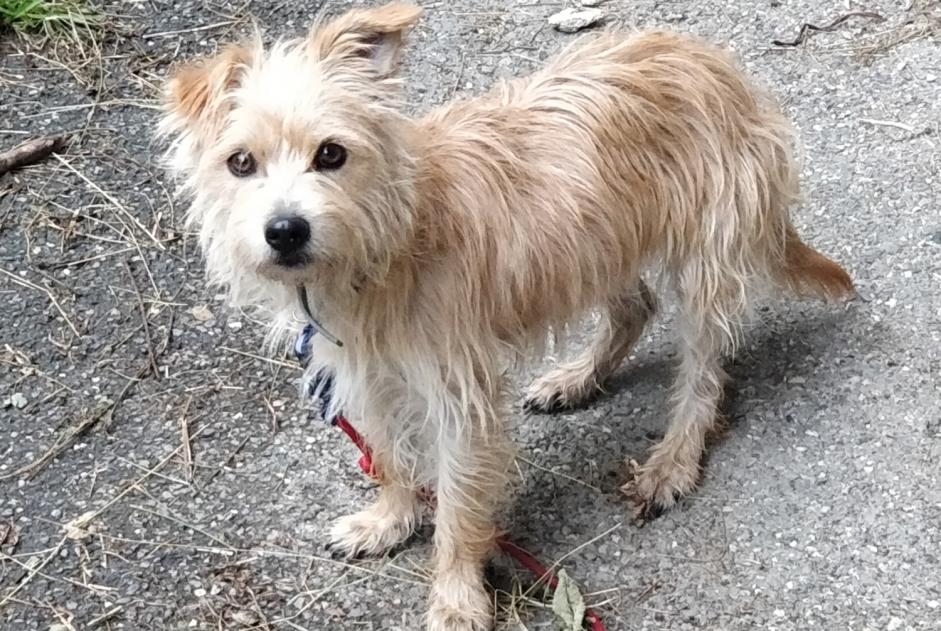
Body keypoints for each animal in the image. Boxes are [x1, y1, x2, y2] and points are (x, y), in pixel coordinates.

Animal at [160, 3, 852, 628]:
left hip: (705, 264)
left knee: (703, 373)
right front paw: (390, 519)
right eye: (240, 163)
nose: (285, 231)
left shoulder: (460, 398)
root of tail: (711, 61)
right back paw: (577, 379)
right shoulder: (365, 376)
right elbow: (387, 456)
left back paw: (672, 462)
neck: (389, 242)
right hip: (593, 246)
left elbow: (460, 507)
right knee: (636, 307)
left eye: (331, 154)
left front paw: (456, 598)